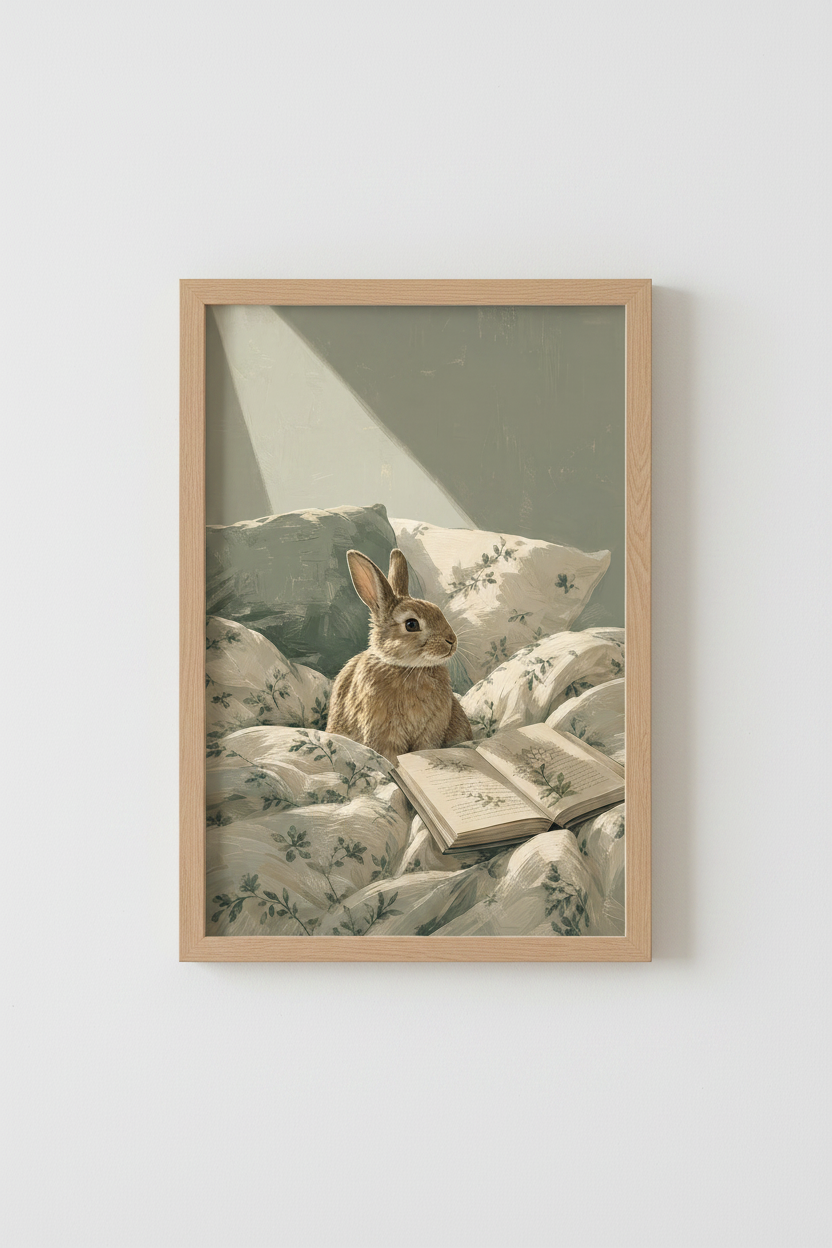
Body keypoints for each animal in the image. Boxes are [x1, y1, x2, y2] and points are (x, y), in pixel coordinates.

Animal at [326, 548, 473, 763]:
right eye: (411, 624)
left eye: (437, 610)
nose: (451, 641)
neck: (408, 668)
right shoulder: (383, 732)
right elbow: (390, 756)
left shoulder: (431, 732)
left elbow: (425, 749)